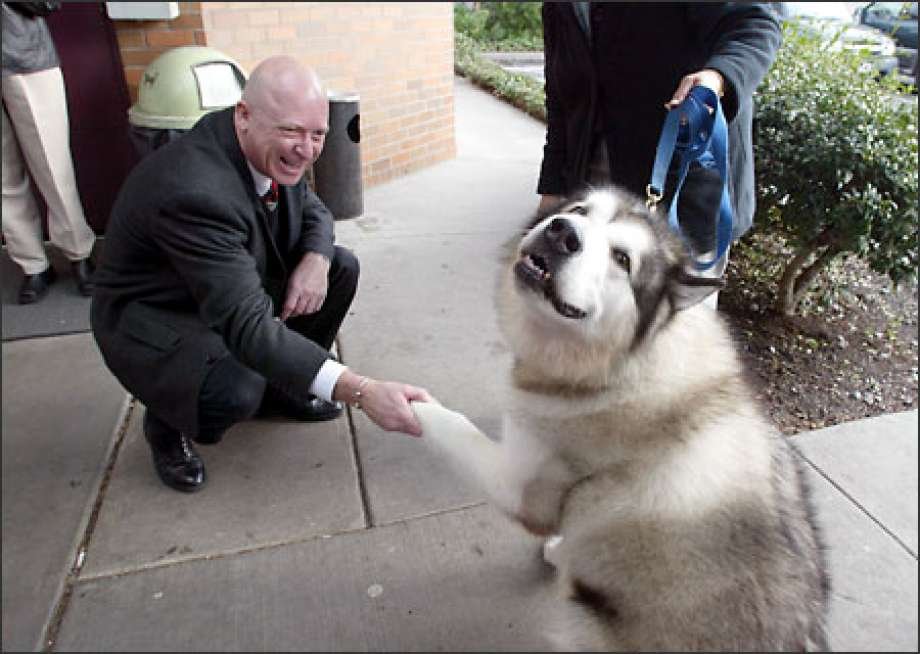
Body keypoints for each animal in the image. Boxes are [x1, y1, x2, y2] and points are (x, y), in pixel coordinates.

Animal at [414, 187, 832, 652]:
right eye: (579, 211)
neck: (622, 364)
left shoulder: (522, 487)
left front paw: (407, 404)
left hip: (579, 617)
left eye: (621, 259)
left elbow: (453, 424)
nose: (562, 232)